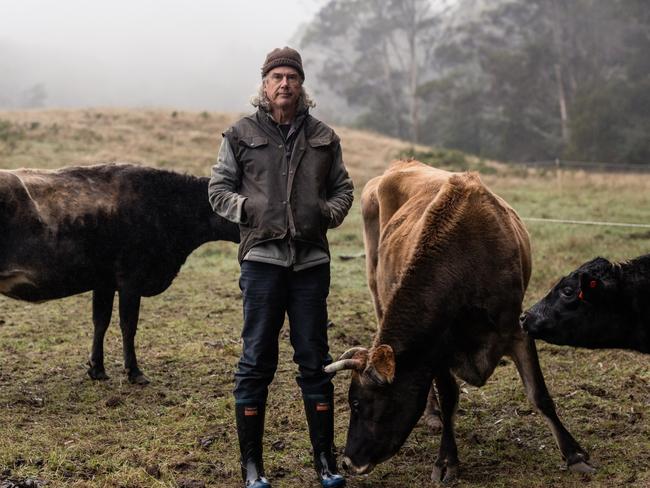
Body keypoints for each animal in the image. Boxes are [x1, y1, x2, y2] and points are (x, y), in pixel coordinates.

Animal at [0, 164, 238, 386]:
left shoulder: (103, 281)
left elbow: (100, 321)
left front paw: (97, 369)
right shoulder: (131, 279)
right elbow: (128, 325)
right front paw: (134, 372)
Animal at [326, 162, 588, 482]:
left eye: (357, 403)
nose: (348, 462)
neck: (466, 260)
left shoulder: (517, 329)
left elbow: (540, 394)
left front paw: (574, 454)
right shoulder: (437, 348)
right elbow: (449, 397)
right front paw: (447, 460)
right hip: (377, 292)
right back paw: (431, 414)